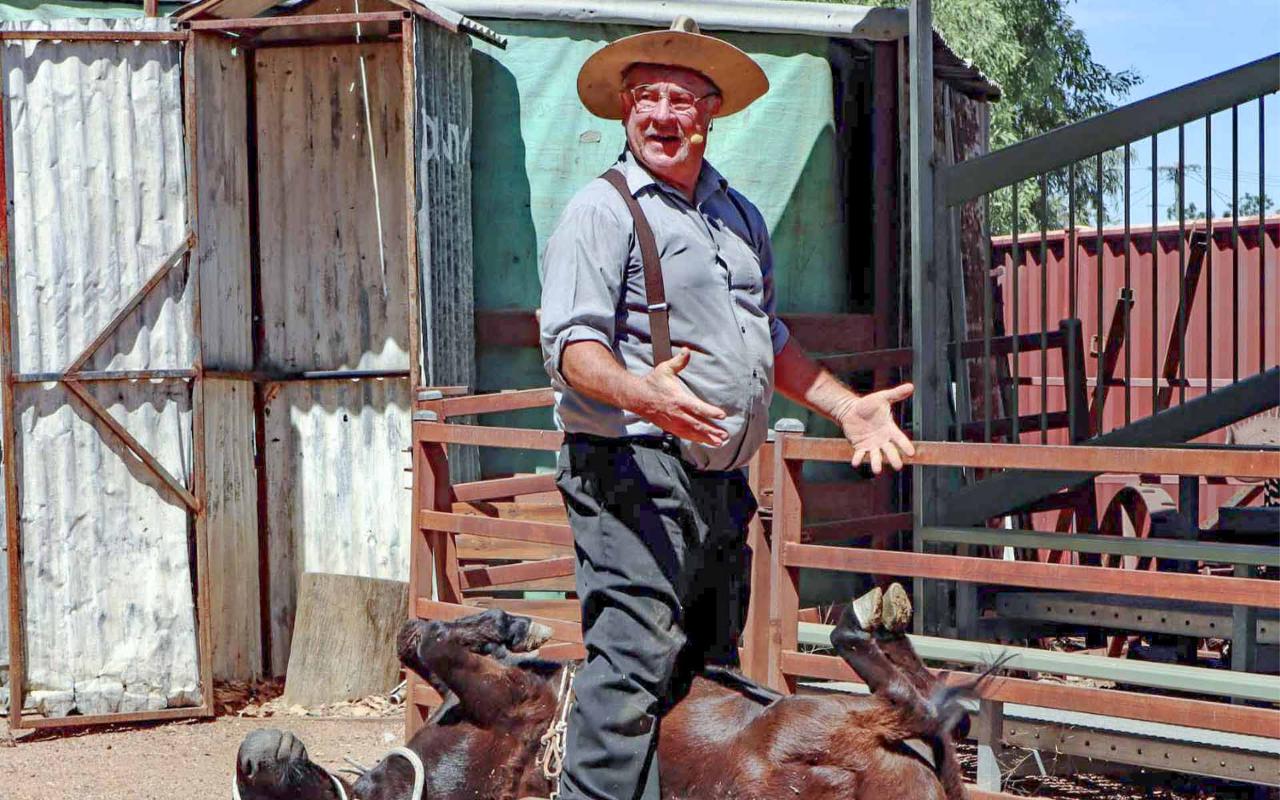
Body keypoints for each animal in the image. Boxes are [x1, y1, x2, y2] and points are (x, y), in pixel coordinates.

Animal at [240, 581, 972, 798]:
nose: (259, 752)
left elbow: (417, 638)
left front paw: (510, 623)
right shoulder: (513, 706)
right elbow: (426, 642)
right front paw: (510, 623)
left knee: (932, 708)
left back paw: (879, 615)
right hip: (798, 745)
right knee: (916, 705)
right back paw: (866, 624)